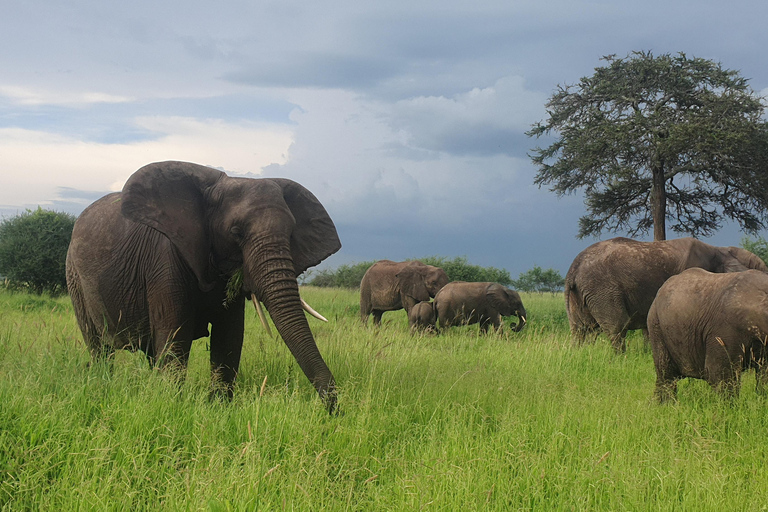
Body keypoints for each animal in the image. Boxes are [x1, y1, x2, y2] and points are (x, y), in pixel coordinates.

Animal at [64, 162, 340, 410]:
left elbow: (229, 338)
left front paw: (219, 409)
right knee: (99, 347)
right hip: (74, 277)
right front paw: (171, 406)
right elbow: (175, 337)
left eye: (291, 234)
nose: (332, 411)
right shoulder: (165, 259)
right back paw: (102, 385)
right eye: (236, 232)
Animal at [564, 237, 768, 352]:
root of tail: (573, 270)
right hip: (602, 289)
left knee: (581, 329)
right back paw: (619, 359)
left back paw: (578, 354)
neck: (720, 250)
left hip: (581, 294)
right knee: (616, 328)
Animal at [648, 268, 768, 404]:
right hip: (656, 325)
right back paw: (668, 405)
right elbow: (719, 374)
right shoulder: (725, 328)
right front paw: (729, 408)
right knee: (666, 373)